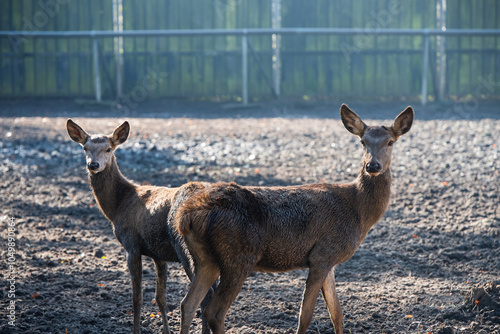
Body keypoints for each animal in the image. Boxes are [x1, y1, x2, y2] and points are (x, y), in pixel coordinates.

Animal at [65, 120, 212, 334]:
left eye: (108, 149)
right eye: (85, 148)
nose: (93, 165)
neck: (118, 206)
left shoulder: (131, 245)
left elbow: (137, 299)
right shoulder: (158, 254)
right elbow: (160, 298)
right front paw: (165, 330)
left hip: (189, 252)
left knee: (205, 296)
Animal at [172, 105, 414, 334]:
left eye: (391, 141)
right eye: (363, 142)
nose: (372, 166)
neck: (359, 212)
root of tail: (186, 216)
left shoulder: (328, 260)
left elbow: (337, 313)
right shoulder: (322, 255)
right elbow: (305, 316)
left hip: (205, 259)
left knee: (188, 304)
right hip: (238, 256)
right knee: (214, 311)